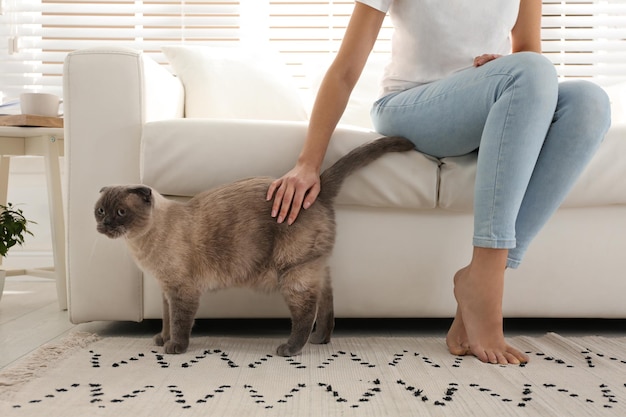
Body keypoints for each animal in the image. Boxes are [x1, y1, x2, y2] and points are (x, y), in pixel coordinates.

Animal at [94, 136, 414, 354]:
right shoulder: (165, 291)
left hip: (293, 272)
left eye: (120, 212)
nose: (105, 225)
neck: (140, 246)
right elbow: (166, 319)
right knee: (326, 300)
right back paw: (319, 339)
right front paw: (161, 339)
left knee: (306, 310)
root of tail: (317, 190)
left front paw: (174, 347)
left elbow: (180, 322)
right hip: (313, 268)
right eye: (100, 210)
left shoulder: (181, 291)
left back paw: (291, 348)